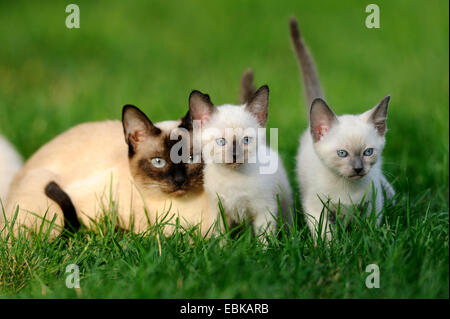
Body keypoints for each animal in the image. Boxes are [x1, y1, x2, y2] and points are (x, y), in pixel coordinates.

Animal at [188, 83, 294, 240]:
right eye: (221, 141)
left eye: (246, 140)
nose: (234, 155)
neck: (232, 177)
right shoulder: (218, 211)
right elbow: (220, 237)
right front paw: (223, 246)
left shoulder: (264, 210)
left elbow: (264, 239)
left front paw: (264, 247)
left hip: (284, 201)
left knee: (288, 222)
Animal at [290, 16, 396, 240]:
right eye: (342, 153)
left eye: (368, 152)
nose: (358, 169)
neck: (347, 189)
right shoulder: (315, 207)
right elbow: (324, 233)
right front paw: (331, 247)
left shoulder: (373, 201)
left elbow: (370, 225)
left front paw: (370, 240)